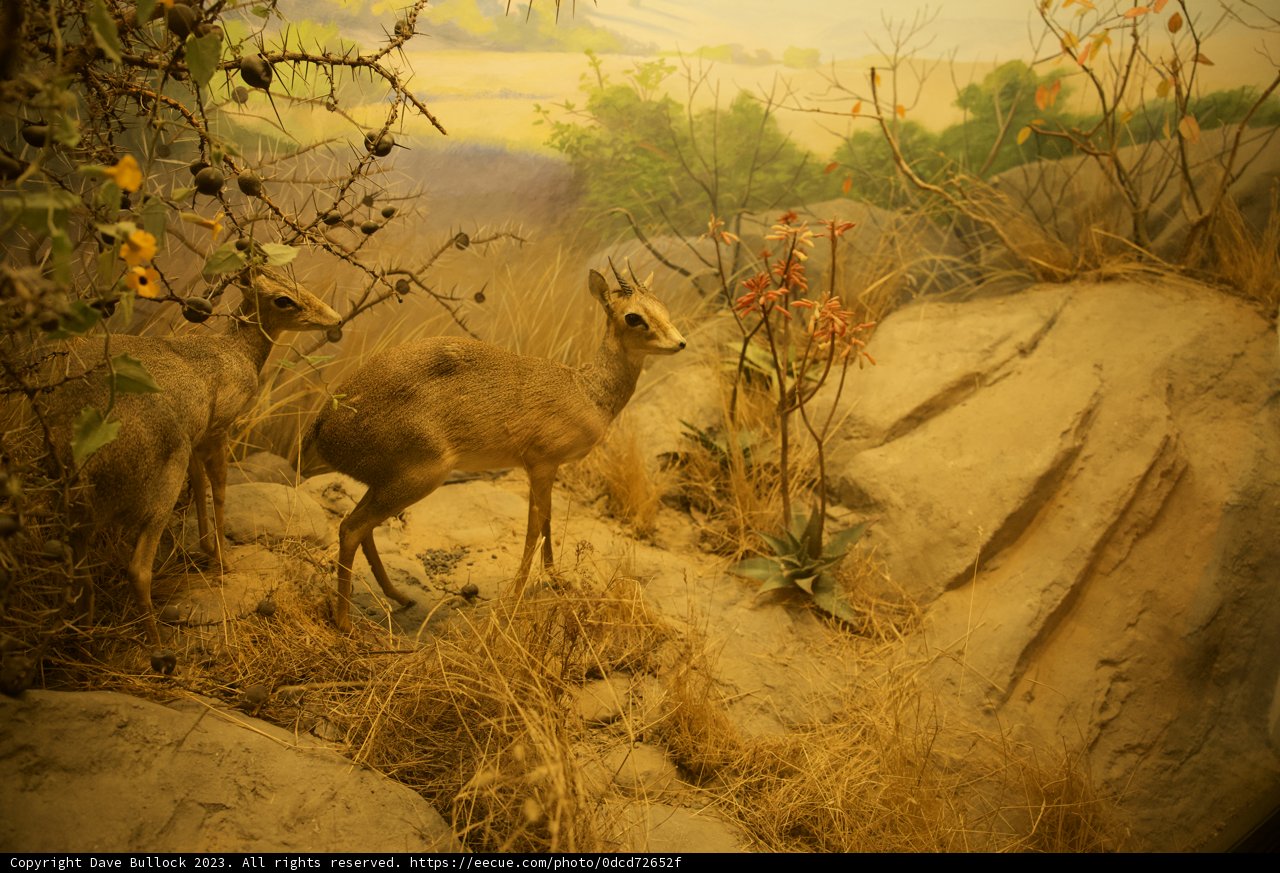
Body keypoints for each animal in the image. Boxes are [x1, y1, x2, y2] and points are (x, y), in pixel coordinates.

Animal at [47, 269, 341, 648]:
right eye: (283, 298)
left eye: (298, 283)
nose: (336, 319)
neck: (236, 353)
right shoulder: (218, 429)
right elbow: (219, 487)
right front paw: (224, 559)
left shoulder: (196, 438)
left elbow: (200, 483)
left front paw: (208, 549)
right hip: (160, 494)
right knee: (137, 569)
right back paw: (156, 643)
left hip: (79, 513)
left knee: (78, 565)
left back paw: (83, 633)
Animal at [303, 265, 686, 632]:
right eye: (633, 316)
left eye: (663, 306)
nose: (680, 343)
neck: (587, 392)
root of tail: (320, 429)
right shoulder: (541, 463)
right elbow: (535, 527)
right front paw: (516, 594)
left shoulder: (544, 470)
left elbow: (546, 522)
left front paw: (556, 579)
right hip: (418, 478)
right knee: (351, 528)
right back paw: (345, 623)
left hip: (386, 482)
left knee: (362, 527)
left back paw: (400, 597)